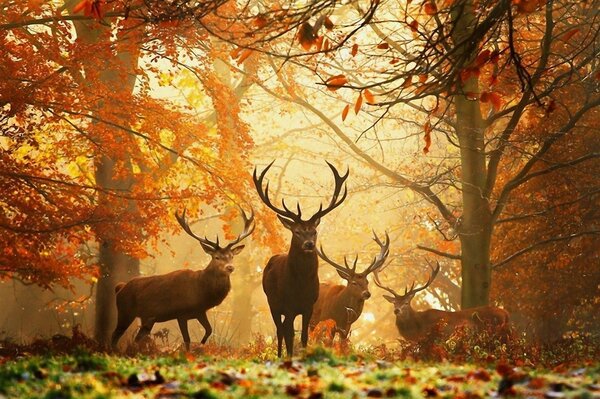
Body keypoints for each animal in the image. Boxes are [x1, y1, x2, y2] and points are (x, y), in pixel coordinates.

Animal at [111, 208, 254, 352]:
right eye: (217, 257)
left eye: (231, 256)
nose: (230, 267)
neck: (201, 292)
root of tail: (120, 288)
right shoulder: (181, 313)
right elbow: (187, 339)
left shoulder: (199, 311)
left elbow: (209, 330)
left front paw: (200, 346)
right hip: (125, 311)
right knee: (115, 335)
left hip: (147, 318)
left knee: (137, 338)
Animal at [252, 161, 346, 358]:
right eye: (297, 231)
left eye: (314, 231)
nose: (309, 244)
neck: (300, 286)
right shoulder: (288, 306)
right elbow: (289, 335)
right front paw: (289, 357)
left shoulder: (308, 306)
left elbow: (303, 336)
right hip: (272, 302)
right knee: (280, 330)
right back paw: (280, 356)